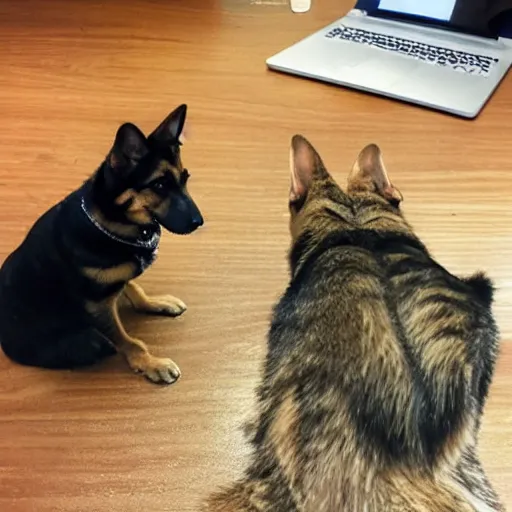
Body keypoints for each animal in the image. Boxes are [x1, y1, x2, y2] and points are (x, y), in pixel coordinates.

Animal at [0, 104, 203, 384]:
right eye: (160, 185)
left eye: (186, 179)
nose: (200, 222)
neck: (112, 220)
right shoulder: (97, 305)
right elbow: (127, 340)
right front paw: (150, 362)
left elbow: (134, 287)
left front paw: (153, 302)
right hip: (82, 340)